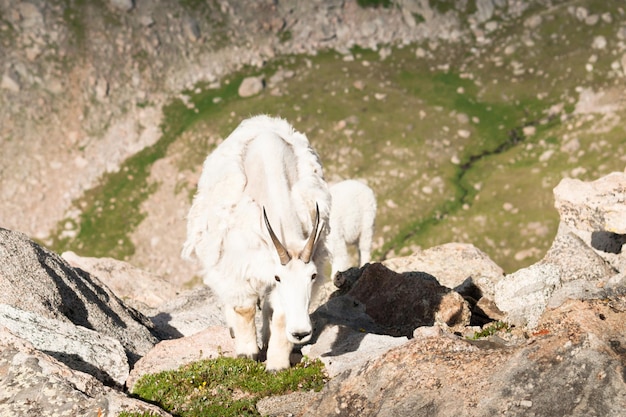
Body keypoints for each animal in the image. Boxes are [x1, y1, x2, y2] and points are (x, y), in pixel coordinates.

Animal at [180, 114, 330, 370]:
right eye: (279, 277)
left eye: (312, 276)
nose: (300, 333)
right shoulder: (239, 264)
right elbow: (244, 308)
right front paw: (247, 353)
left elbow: (280, 314)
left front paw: (277, 363)